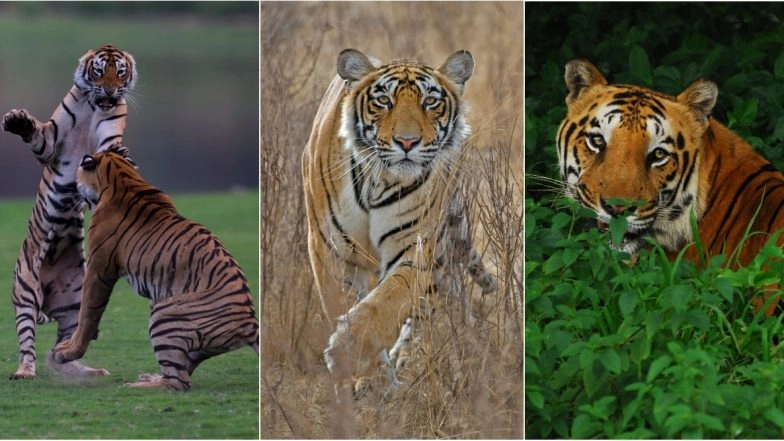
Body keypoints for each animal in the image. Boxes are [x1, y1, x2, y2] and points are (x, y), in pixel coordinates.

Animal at [1, 44, 137, 380]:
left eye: (120, 72)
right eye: (99, 71)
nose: (110, 91)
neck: (94, 107)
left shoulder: (108, 135)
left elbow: (109, 149)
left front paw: (122, 154)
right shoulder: (51, 144)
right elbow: (38, 136)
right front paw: (17, 120)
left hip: (75, 298)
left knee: (64, 340)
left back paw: (85, 370)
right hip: (25, 292)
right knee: (27, 342)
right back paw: (25, 371)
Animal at [50, 146, 259, 391]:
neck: (122, 176)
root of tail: (250, 322)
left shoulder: (98, 269)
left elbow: (87, 312)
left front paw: (67, 352)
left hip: (164, 313)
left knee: (178, 383)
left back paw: (133, 385)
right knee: (180, 370)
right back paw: (148, 377)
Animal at [302, 48, 497, 394]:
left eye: (430, 102)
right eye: (383, 100)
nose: (407, 142)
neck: (378, 182)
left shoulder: (414, 248)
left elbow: (385, 303)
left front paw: (350, 354)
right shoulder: (330, 249)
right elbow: (343, 302)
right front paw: (368, 376)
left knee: (429, 305)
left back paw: (411, 356)